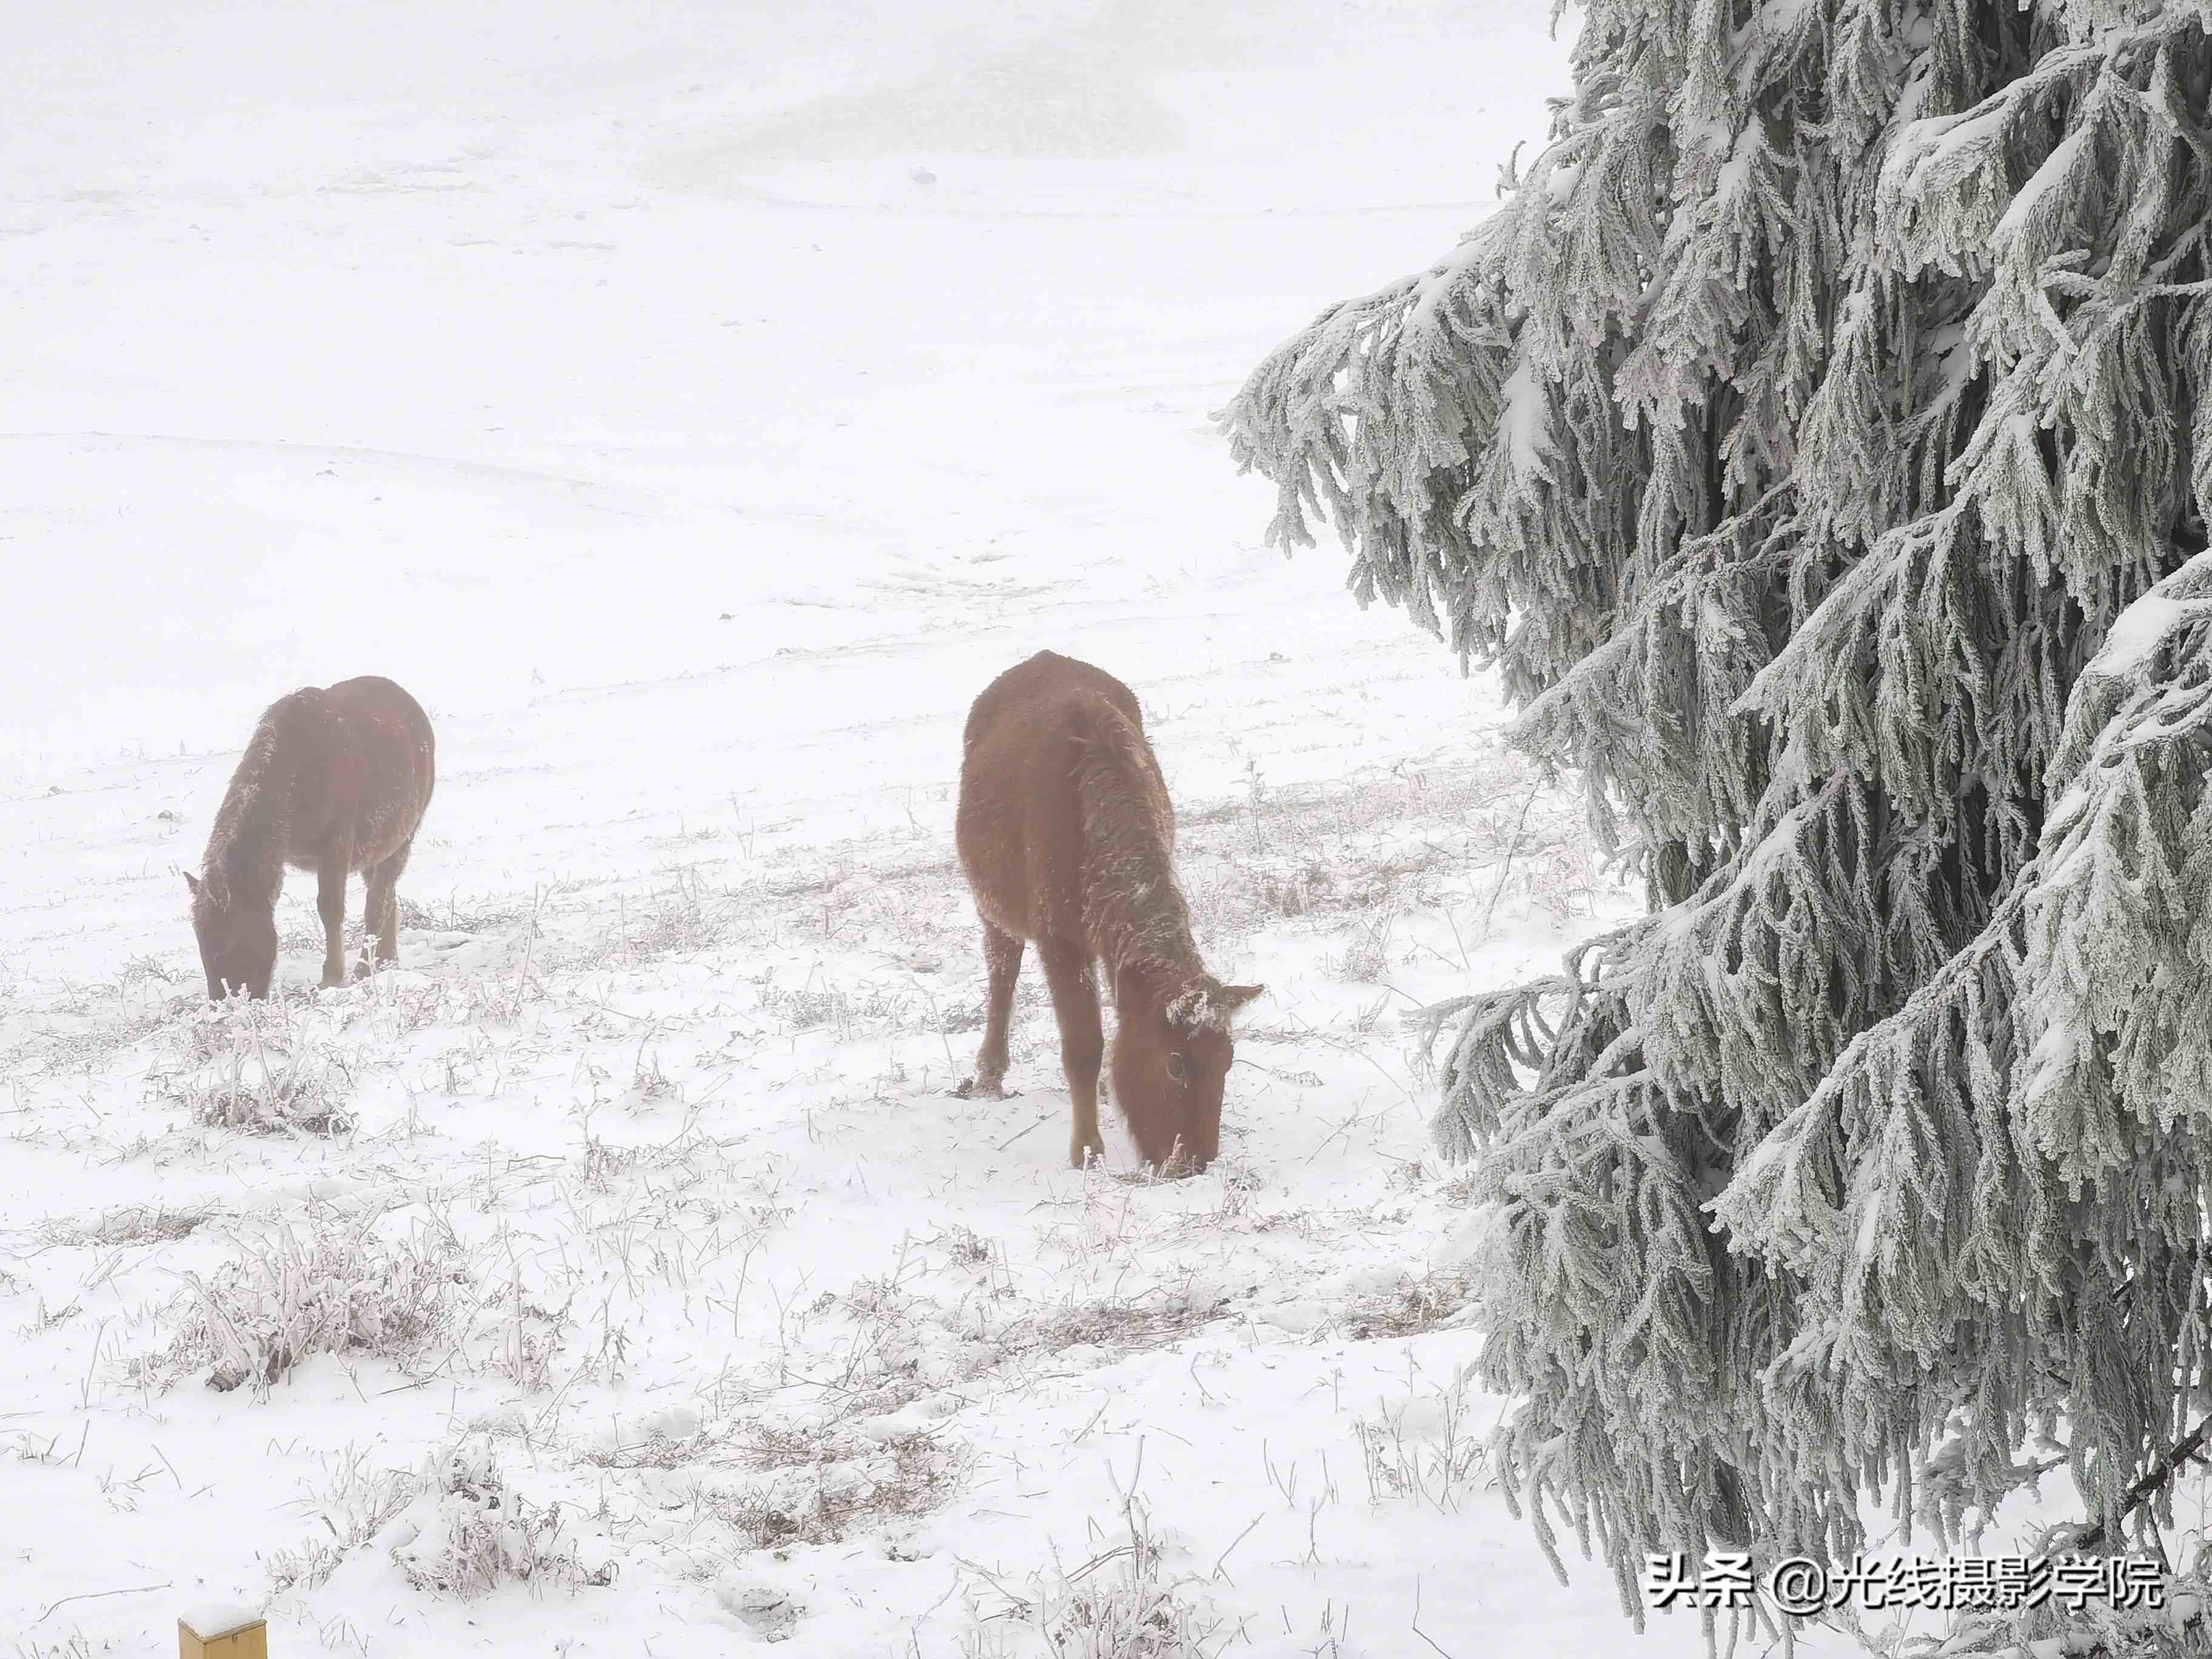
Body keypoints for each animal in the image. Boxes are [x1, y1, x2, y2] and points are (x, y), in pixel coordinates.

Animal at [187, 677, 440, 999]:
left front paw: (332, 977)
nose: (226, 1002)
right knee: (388, 897)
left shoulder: (336, 847)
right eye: (200, 939)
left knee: (378, 903)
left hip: (401, 841)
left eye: (231, 938)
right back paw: (386, 961)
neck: (296, 771)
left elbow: (330, 909)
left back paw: (365, 968)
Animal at [951, 654, 1265, 1185]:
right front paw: (1087, 1151)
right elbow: (1082, 1045)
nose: (1193, 1164)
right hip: (992, 904)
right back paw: (989, 1074)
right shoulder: (1057, 939)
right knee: (1002, 969)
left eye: (1228, 1061)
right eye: (1176, 1065)